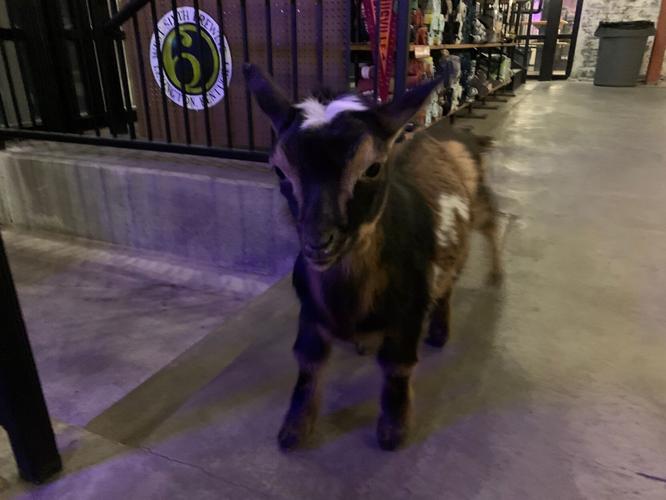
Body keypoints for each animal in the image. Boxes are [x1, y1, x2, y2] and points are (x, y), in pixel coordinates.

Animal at [244, 64, 503, 451]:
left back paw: (473, 298)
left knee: (485, 233)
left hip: (478, 206)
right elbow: (308, 359)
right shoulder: (310, 308)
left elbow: (397, 365)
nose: (318, 243)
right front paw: (294, 429)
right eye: (279, 169)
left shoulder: (409, 311)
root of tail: (450, 130)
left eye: (372, 168)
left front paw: (393, 429)